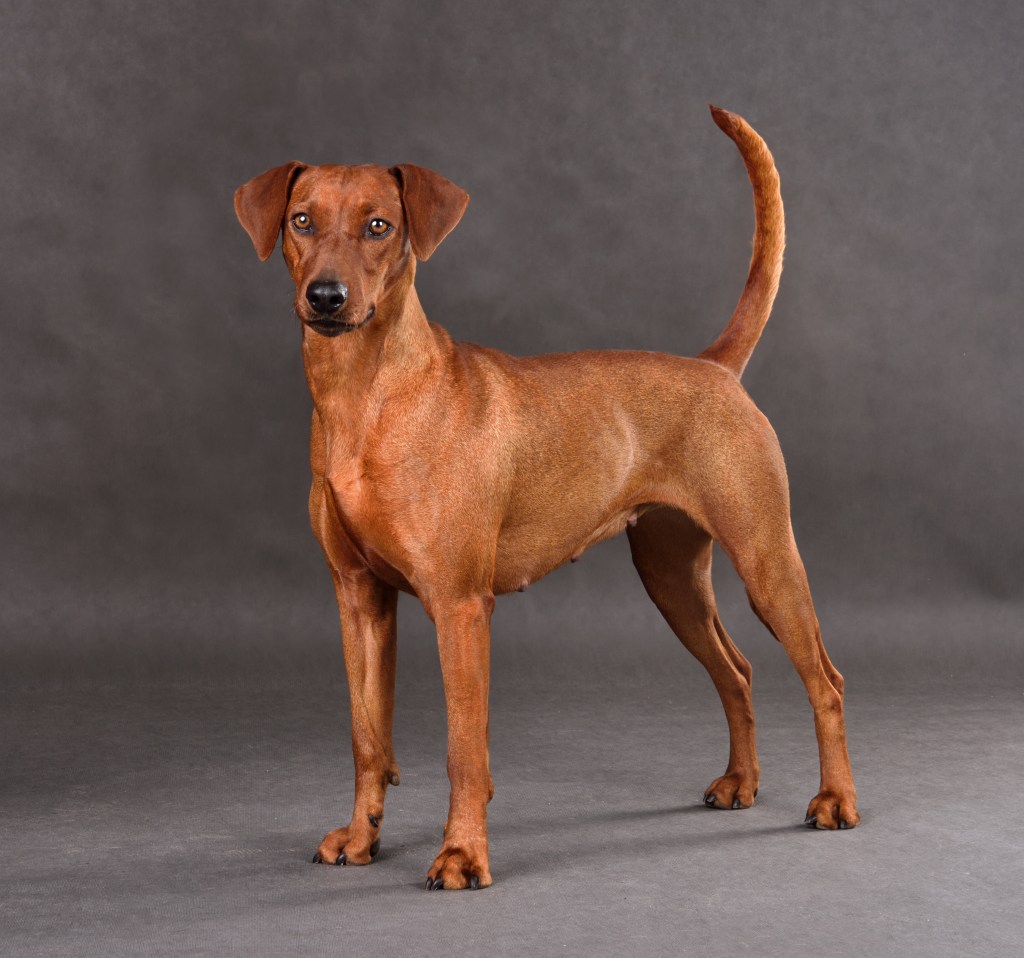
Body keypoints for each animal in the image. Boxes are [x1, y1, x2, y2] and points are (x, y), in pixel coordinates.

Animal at [235, 104, 860, 892]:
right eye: (302, 221)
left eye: (379, 226)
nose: (326, 297)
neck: (366, 395)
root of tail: (715, 368)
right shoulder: (360, 600)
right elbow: (366, 737)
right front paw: (360, 836)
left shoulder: (460, 607)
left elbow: (464, 749)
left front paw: (463, 855)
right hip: (672, 580)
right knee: (737, 671)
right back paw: (740, 784)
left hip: (767, 562)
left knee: (825, 680)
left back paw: (836, 800)